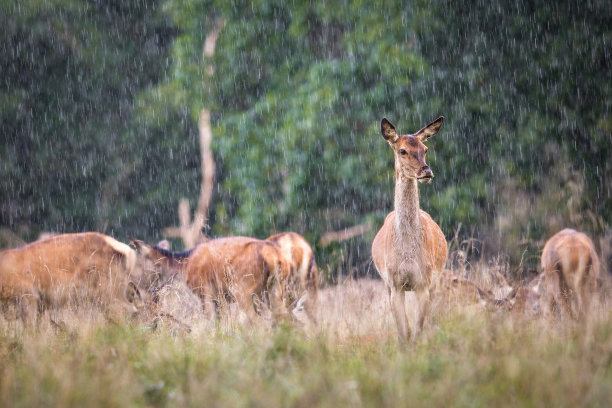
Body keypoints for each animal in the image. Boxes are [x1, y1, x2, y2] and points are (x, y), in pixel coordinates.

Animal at [370, 115, 448, 342]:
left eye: (425, 148)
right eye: (402, 150)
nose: (426, 171)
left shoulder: (424, 282)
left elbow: (418, 332)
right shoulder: (395, 284)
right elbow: (405, 333)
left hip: (437, 279)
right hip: (388, 285)